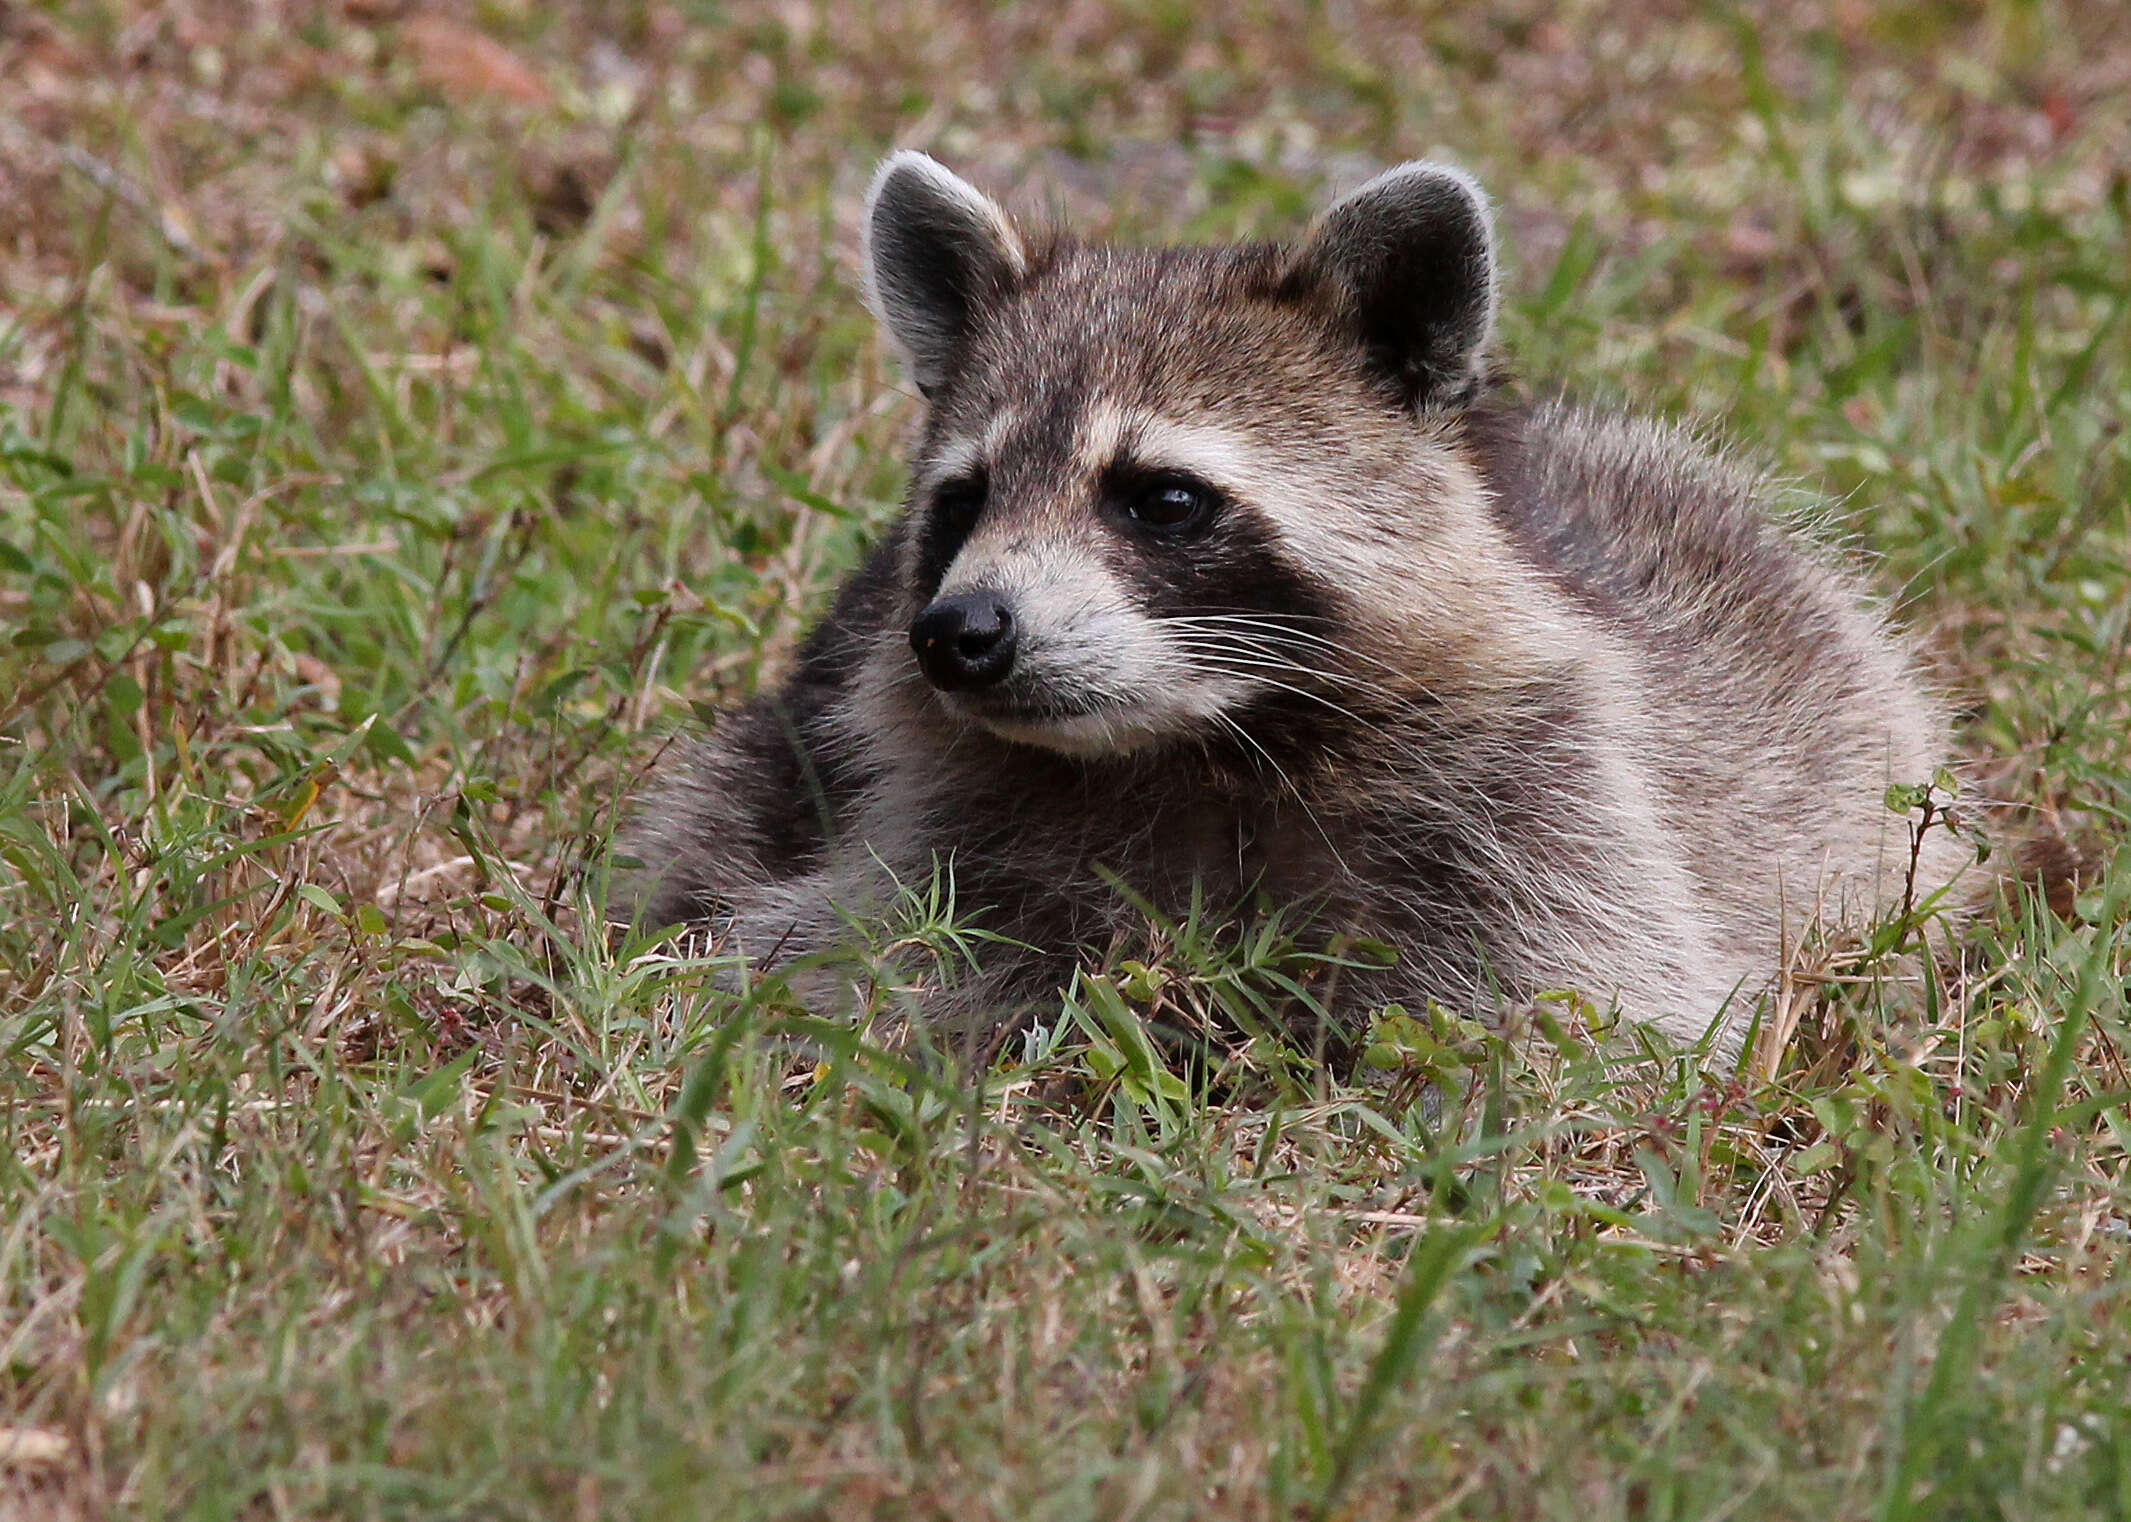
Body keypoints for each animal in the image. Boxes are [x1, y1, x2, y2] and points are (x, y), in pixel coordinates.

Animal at [630, 151, 1977, 1057]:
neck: (1197, 741)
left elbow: (1579, 1016)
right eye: (963, 501)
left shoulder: (1549, 799)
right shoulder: (938, 823)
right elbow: (834, 965)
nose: (961, 634)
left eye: (1161, 499)